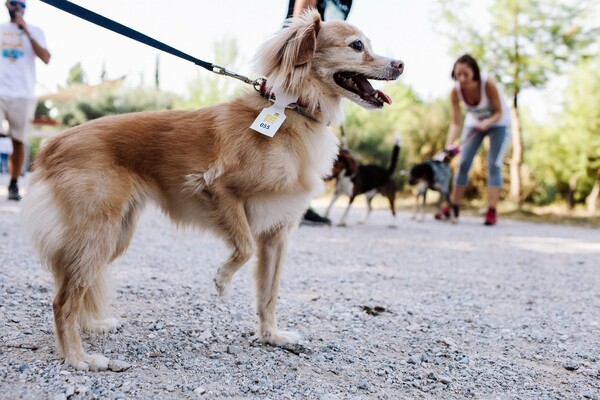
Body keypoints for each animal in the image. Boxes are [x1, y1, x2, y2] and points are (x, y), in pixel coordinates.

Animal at [19, 10, 404, 372]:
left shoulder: (279, 233)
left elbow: (269, 293)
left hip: (114, 236)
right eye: (357, 45)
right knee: (63, 299)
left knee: (72, 286)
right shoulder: (217, 189)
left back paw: (90, 329)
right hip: (97, 233)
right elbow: (244, 247)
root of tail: (51, 145)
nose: (400, 64)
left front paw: (271, 336)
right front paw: (222, 279)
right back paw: (77, 357)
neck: (293, 111)